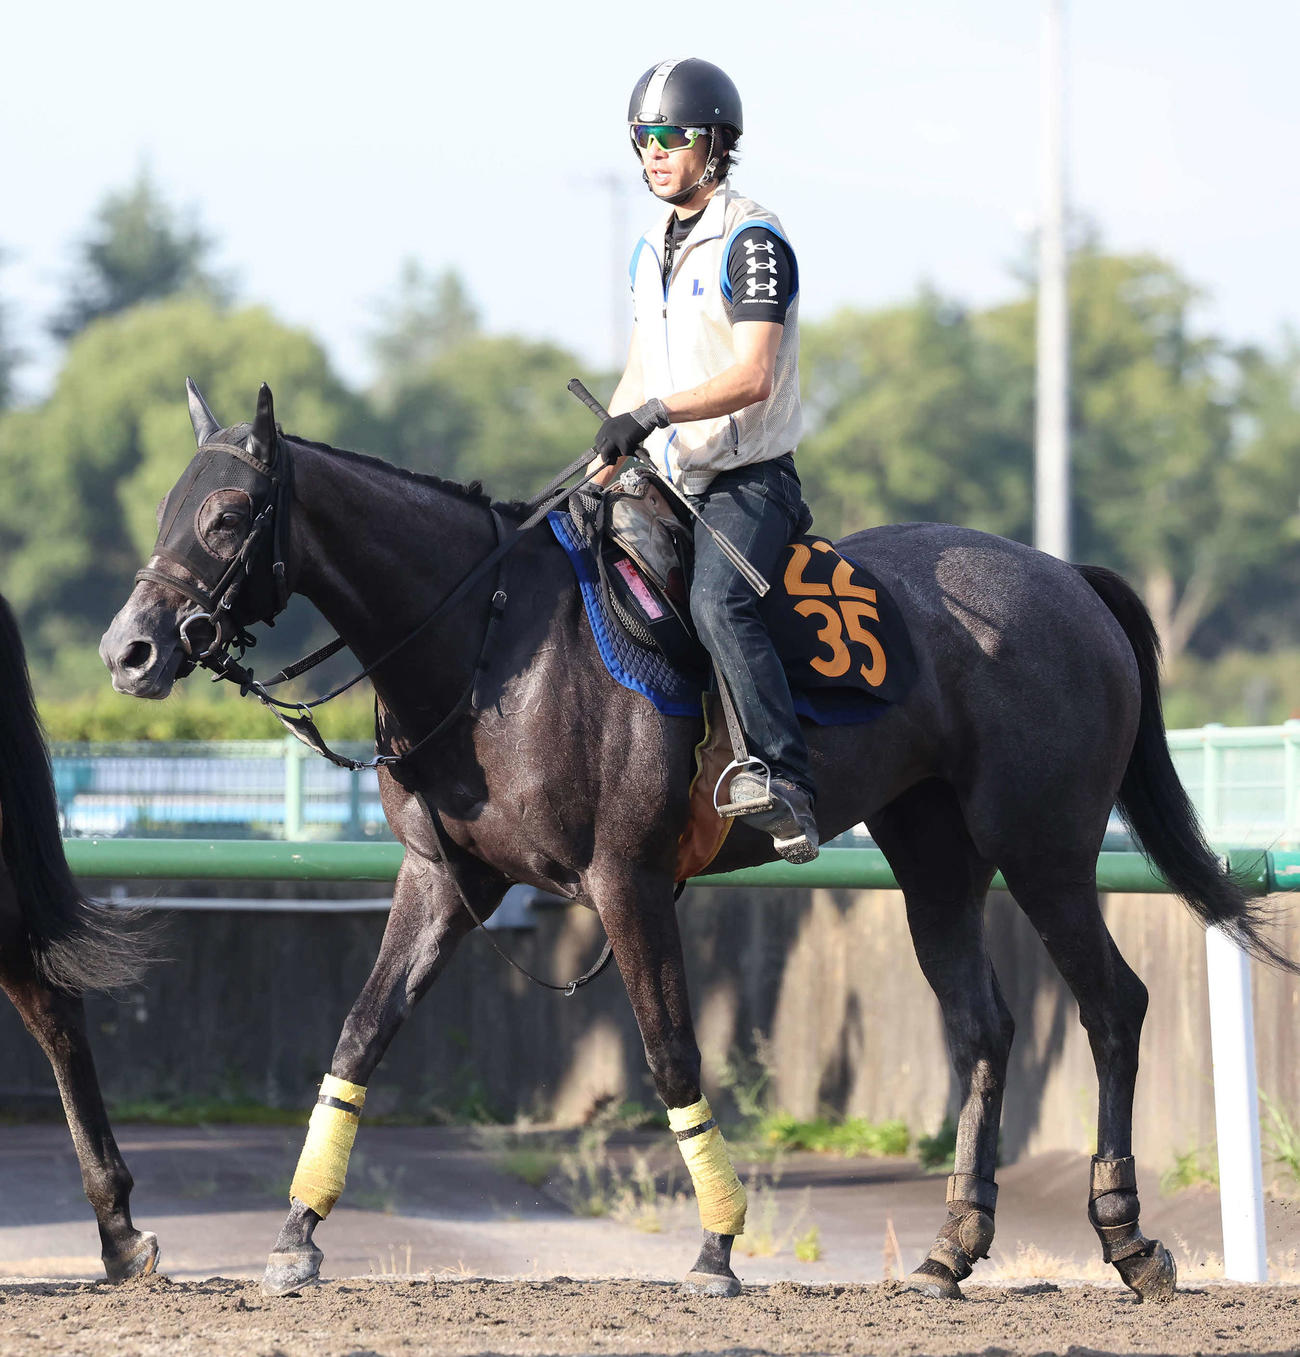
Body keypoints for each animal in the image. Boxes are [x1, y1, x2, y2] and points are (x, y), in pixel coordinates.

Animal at [101, 381, 1292, 1303]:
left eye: (228, 515)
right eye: (165, 509)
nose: (130, 649)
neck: (491, 640)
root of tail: (1066, 580)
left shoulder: (626, 881)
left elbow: (672, 1050)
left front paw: (718, 1245)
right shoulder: (444, 881)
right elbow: (358, 1037)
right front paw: (296, 1234)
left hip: (1042, 848)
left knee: (1112, 1005)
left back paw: (1128, 1235)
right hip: (935, 859)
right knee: (986, 1027)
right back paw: (951, 1251)